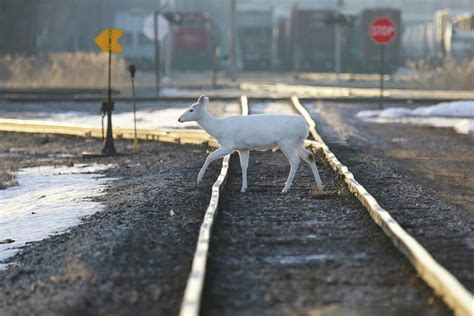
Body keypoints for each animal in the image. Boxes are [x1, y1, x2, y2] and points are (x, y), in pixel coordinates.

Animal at [177, 95, 322, 193]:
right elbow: (244, 166)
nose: (179, 119)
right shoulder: (242, 148)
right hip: (297, 142)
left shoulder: (229, 144)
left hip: (287, 141)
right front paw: (243, 187)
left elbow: (209, 156)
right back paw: (320, 185)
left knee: (295, 160)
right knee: (309, 156)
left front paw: (198, 178)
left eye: (191, 109)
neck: (218, 128)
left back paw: (285, 188)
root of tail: (304, 127)